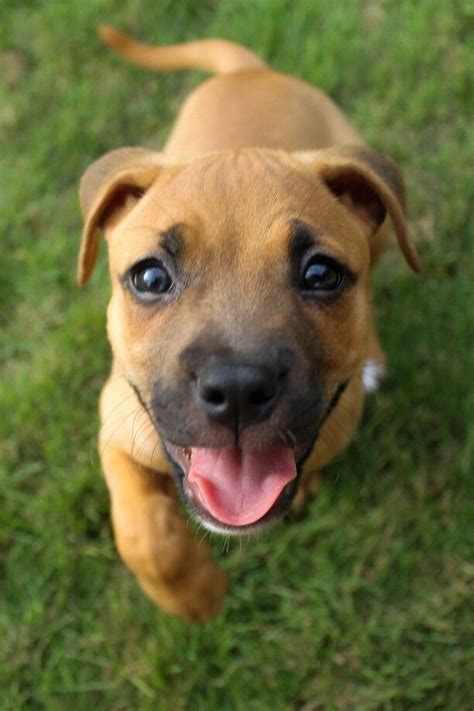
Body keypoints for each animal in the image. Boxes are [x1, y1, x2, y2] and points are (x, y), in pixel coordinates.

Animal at [77, 26, 418, 624]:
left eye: (321, 274)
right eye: (149, 276)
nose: (236, 390)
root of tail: (246, 70)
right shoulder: (117, 428)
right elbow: (144, 533)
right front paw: (193, 596)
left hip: (378, 227)